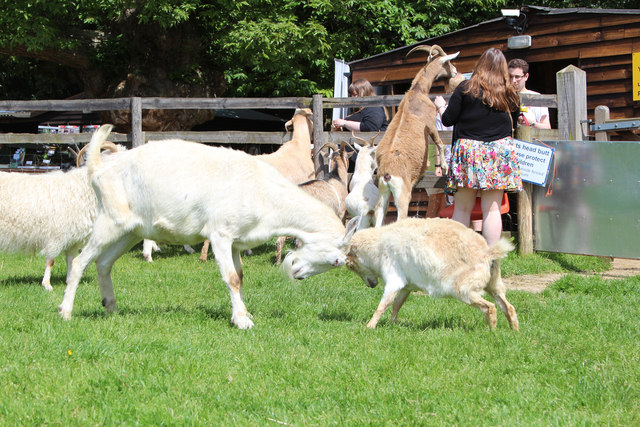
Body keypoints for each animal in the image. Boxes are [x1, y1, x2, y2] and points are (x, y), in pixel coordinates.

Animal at [0, 144, 123, 290]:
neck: (83, 189)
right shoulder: (56, 235)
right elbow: (51, 260)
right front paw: (47, 285)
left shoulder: (73, 237)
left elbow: (71, 259)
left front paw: (70, 281)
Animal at [58, 125, 360, 330]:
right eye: (336, 261)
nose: (298, 276)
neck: (263, 192)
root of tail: (99, 169)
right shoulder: (221, 234)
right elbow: (232, 278)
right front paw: (243, 322)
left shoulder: (237, 240)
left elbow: (240, 275)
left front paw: (243, 313)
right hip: (109, 220)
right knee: (81, 262)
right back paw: (65, 312)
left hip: (130, 231)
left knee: (103, 263)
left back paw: (110, 307)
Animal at [344, 217, 520, 332]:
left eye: (351, 266)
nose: (371, 284)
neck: (379, 245)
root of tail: (488, 254)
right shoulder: (407, 285)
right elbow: (397, 304)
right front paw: (392, 323)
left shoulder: (394, 279)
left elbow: (383, 304)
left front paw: (369, 326)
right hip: (494, 285)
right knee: (508, 307)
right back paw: (514, 331)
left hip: (464, 289)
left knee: (490, 307)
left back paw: (491, 332)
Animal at [370, 44, 464, 227]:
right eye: (448, 62)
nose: (456, 72)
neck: (417, 92)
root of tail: (387, 174)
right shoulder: (431, 124)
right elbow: (439, 142)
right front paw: (444, 167)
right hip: (402, 195)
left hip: (383, 193)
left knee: (379, 215)